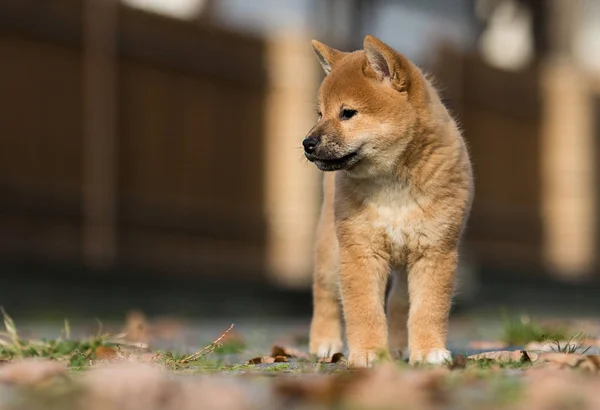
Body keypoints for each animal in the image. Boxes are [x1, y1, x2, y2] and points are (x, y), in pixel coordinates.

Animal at [304, 36, 474, 368]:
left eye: (347, 113)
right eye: (320, 114)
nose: (307, 143)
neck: (392, 185)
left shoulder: (434, 252)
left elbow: (428, 309)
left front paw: (428, 351)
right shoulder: (360, 252)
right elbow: (364, 311)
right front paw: (369, 353)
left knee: (399, 302)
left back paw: (398, 346)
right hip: (330, 251)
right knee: (324, 294)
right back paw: (324, 343)